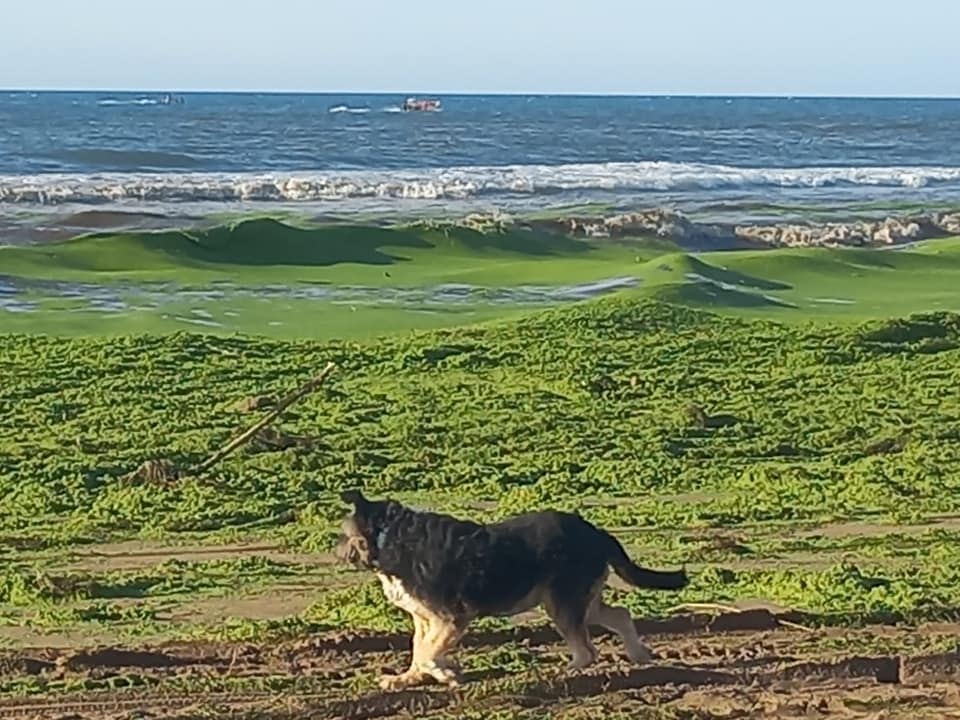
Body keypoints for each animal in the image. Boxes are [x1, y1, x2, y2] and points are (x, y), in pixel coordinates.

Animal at [334, 492, 688, 688]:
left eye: (343, 533)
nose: (334, 550)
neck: (387, 535)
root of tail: (597, 532)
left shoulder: (450, 619)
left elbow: (426, 653)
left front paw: (444, 674)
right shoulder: (424, 619)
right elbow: (419, 649)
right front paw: (408, 678)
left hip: (562, 603)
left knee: (588, 651)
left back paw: (563, 673)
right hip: (580, 601)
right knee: (621, 615)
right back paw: (639, 655)